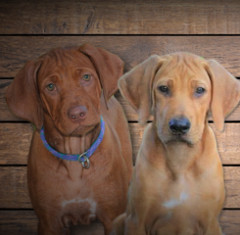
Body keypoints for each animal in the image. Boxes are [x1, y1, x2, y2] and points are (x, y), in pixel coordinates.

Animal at [6, 44, 133, 235]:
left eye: (86, 77)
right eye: (50, 86)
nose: (77, 113)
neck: (76, 155)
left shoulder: (112, 217)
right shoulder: (49, 222)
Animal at [112, 52, 240, 234]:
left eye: (200, 90)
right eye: (163, 88)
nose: (179, 126)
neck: (180, 158)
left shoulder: (210, 223)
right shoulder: (136, 221)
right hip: (119, 221)